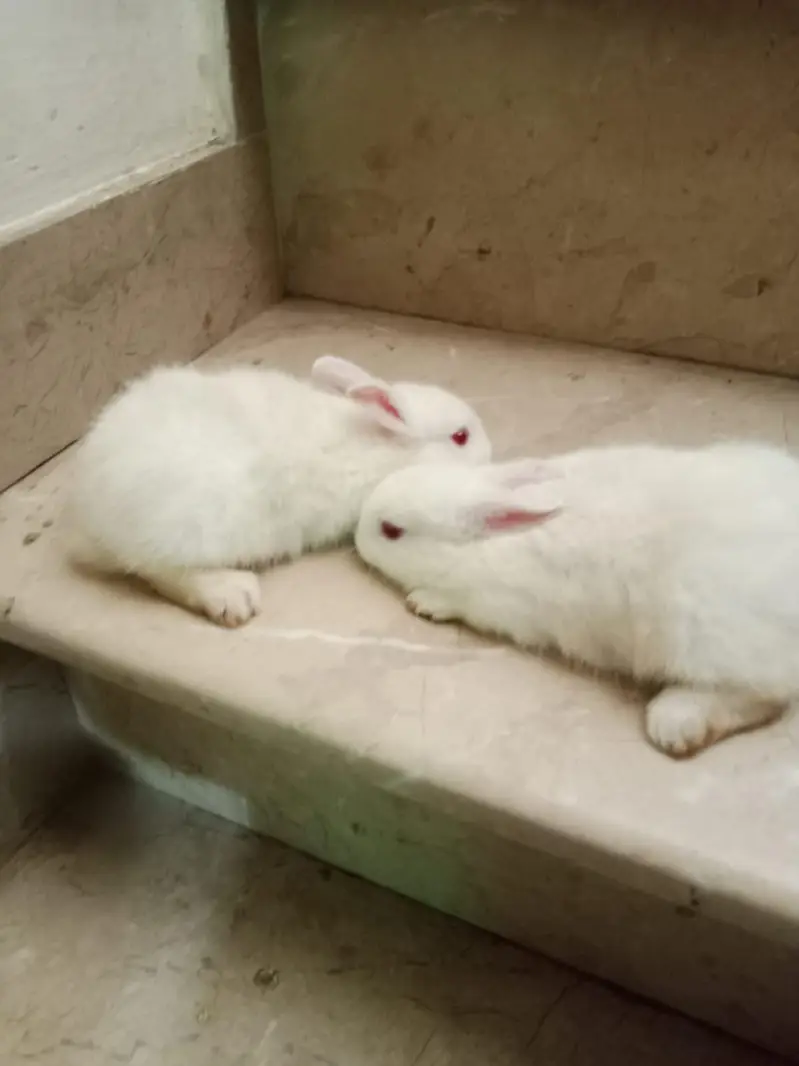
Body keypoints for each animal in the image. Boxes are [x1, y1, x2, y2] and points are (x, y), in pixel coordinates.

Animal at [67, 355, 491, 627]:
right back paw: (232, 597)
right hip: (200, 524)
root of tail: (89, 508)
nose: (490, 452)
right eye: (460, 436)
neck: (379, 441)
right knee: (155, 568)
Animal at [355, 441, 799, 757]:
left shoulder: (504, 605)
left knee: (761, 696)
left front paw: (424, 601)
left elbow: (457, 602)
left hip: (701, 635)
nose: (356, 539)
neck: (486, 546)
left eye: (391, 530)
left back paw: (673, 724)